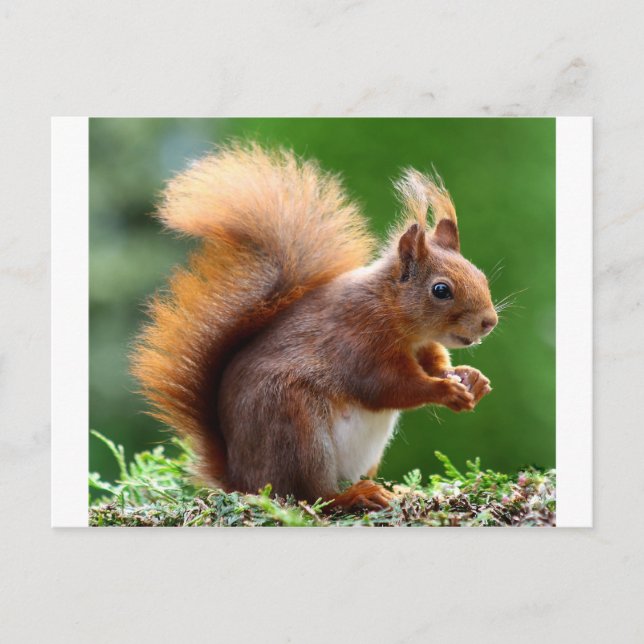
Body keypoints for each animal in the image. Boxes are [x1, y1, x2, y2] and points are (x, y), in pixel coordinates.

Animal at [131, 142, 498, 510]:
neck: (394, 314)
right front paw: (445, 391)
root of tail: (242, 479)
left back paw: (395, 490)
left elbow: (434, 364)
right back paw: (355, 495)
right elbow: (389, 386)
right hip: (298, 430)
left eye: (480, 275)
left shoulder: (422, 346)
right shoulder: (359, 341)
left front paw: (471, 378)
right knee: (310, 494)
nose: (489, 322)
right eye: (441, 290)